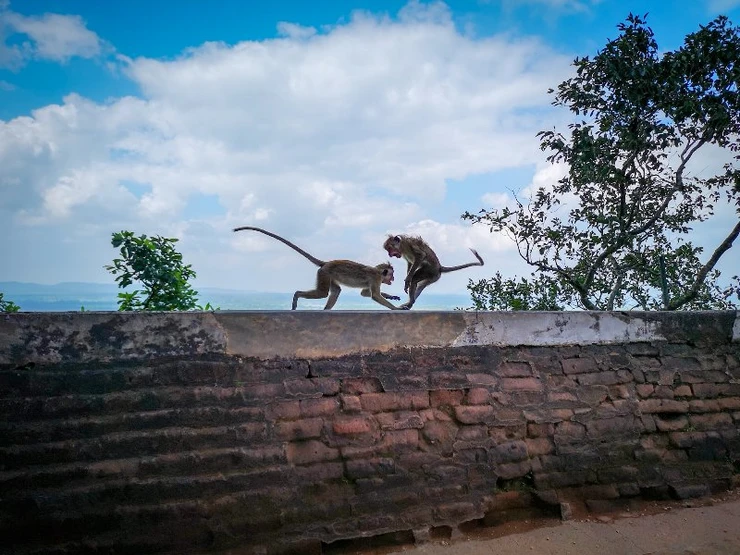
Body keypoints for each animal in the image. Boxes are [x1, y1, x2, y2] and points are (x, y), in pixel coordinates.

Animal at [234, 226, 402, 312]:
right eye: (391, 275)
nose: (393, 279)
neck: (378, 272)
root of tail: (326, 263)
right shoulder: (376, 278)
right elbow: (374, 296)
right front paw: (395, 308)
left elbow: (365, 293)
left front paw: (391, 297)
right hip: (324, 273)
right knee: (323, 292)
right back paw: (297, 295)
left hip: (328, 274)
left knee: (335, 291)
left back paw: (325, 310)